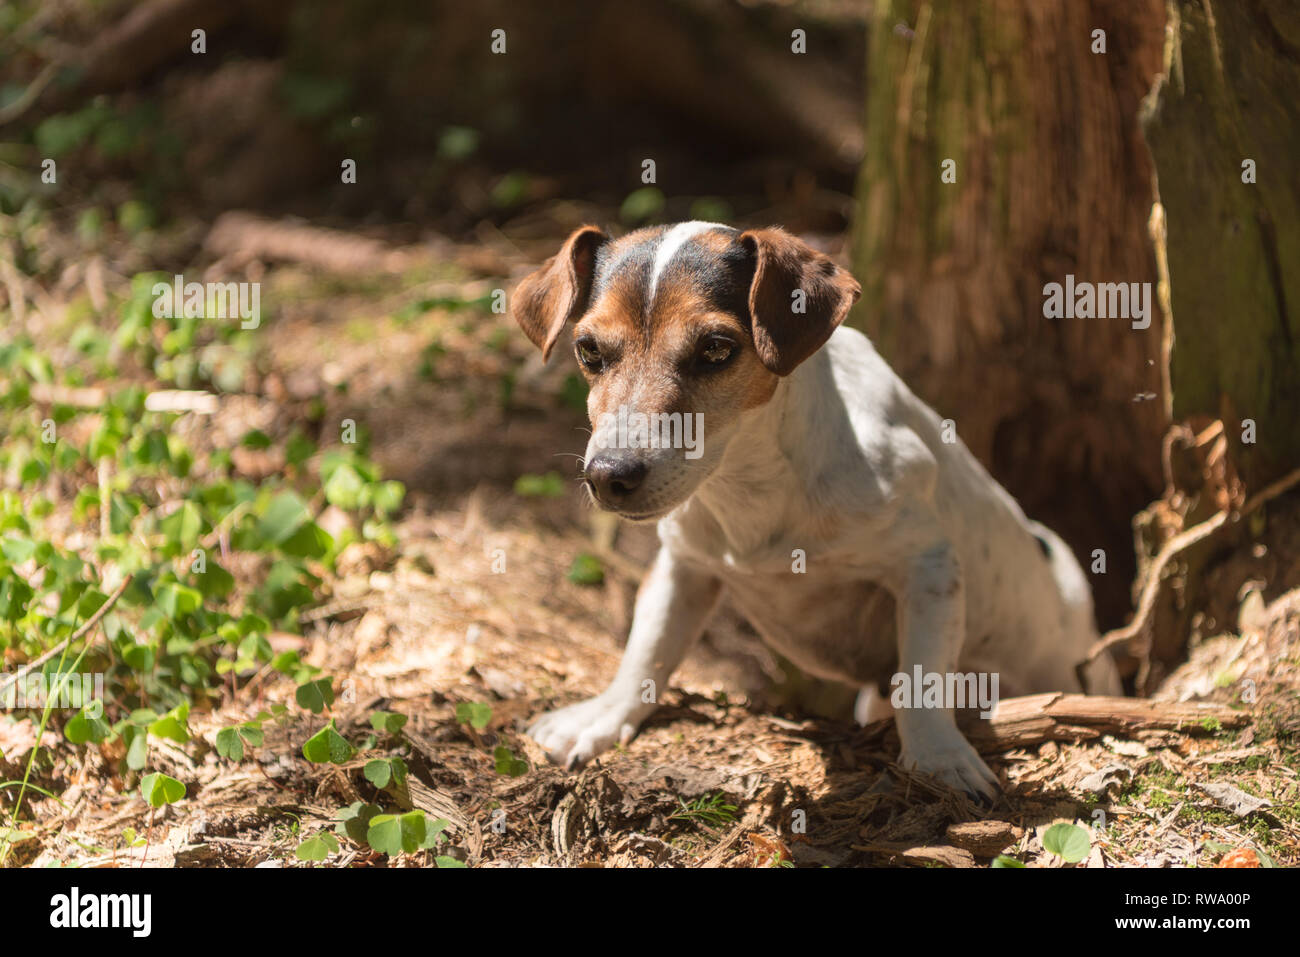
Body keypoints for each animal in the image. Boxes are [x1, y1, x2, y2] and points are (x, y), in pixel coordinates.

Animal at [506, 222, 1118, 800]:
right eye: (589, 351)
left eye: (716, 349)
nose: (608, 476)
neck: (753, 481)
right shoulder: (685, 568)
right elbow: (646, 653)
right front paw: (603, 718)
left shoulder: (929, 566)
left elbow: (921, 679)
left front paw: (939, 759)